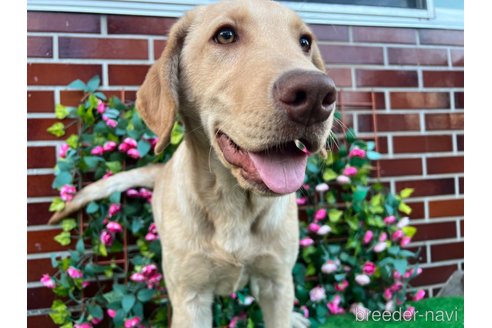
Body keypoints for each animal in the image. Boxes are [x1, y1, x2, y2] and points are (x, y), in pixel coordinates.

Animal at [49, 0, 334, 326]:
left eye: (305, 42)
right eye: (225, 35)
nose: (316, 95)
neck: (233, 204)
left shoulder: (277, 283)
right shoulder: (190, 299)